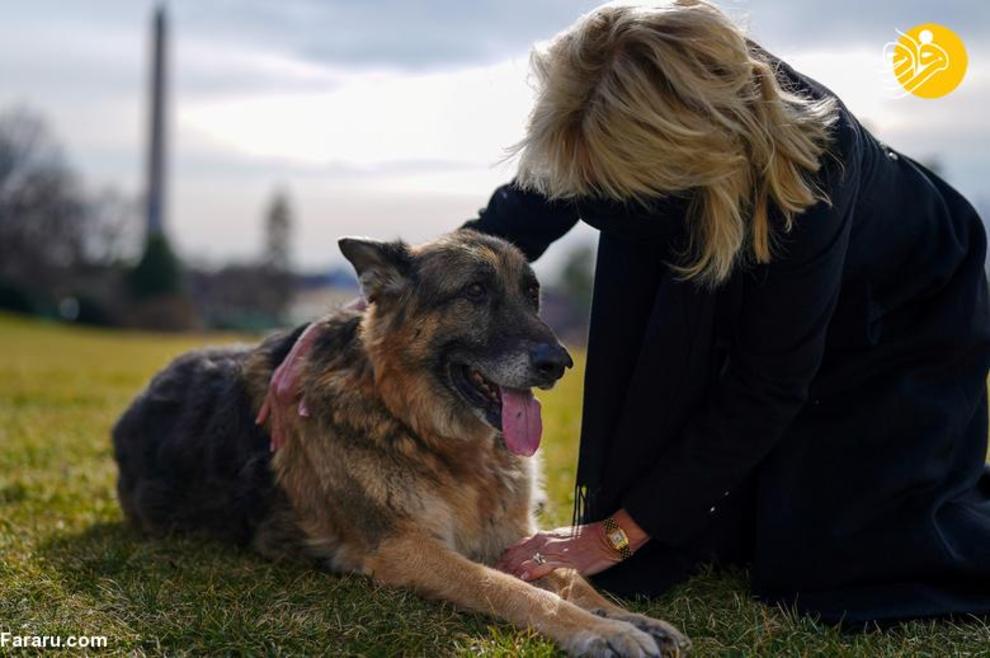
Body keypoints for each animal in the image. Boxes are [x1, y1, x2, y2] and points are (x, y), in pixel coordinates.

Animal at [112, 228, 688, 652]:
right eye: (474, 292)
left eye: (532, 294)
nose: (559, 363)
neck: (421, 429)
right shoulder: (406, 548)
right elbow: (511, 589)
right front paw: (602, 631)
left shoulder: (515, 538)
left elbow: (570, 576)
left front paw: (628, 617)